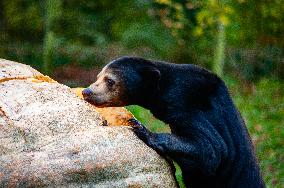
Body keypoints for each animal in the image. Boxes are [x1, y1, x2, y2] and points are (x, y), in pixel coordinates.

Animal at [81, 56, 264, 187]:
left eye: (110, 81)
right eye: (98, 77)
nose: (86, 91)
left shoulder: (188, 106)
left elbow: (212, 150)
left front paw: (141, 128)